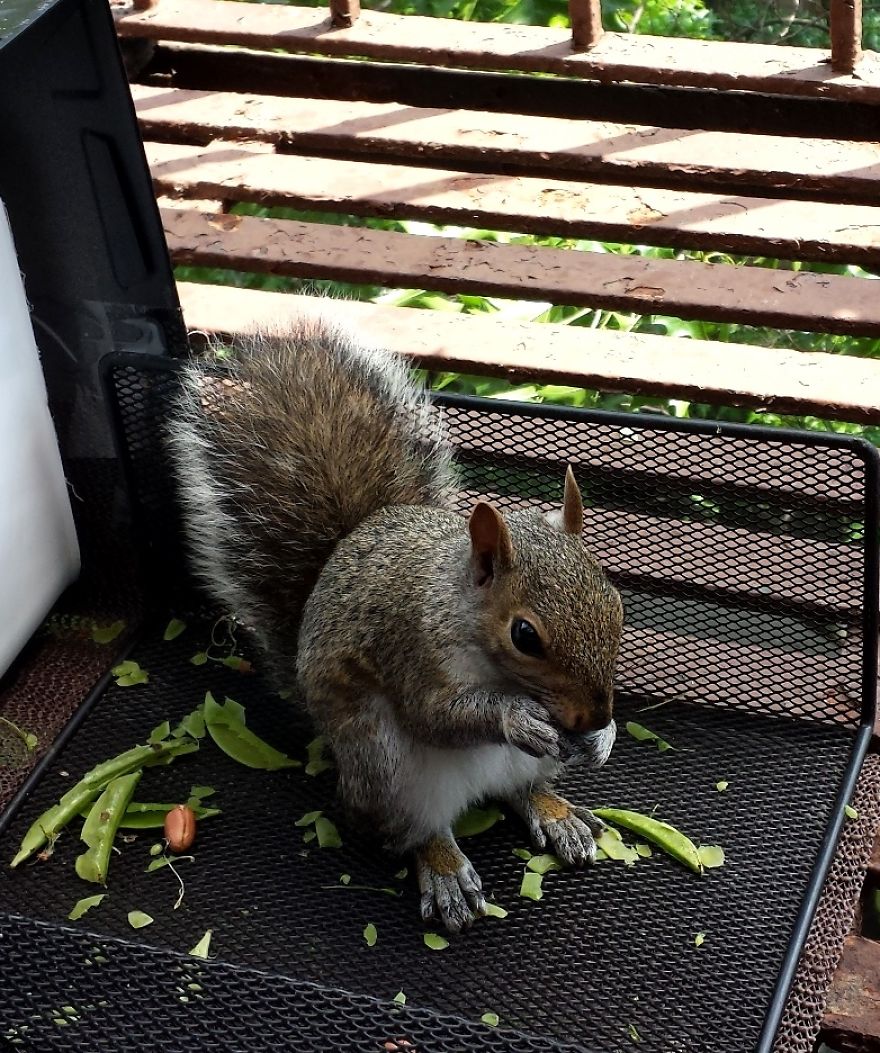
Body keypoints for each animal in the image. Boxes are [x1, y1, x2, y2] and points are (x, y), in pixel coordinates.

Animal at [168, 317, 624, 933]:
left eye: (616, 603)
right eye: (525, 636)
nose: (596, 715)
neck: (459, 614)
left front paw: (604, 737)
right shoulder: (409, 648)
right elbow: (433, 715)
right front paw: (516, 717)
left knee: (522, 789)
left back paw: (556, 812)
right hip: (387, 768)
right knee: (414, 829)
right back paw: (445, 869)